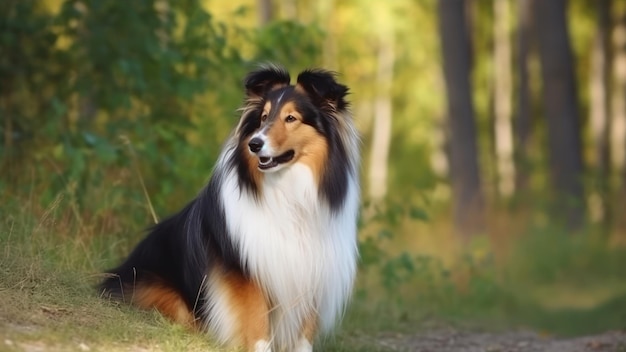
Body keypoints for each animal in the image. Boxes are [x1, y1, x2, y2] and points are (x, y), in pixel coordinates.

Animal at [100, 64, 358, 350]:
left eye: (291, 118)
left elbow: (304, 332)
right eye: (263, 117)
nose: (254, 144)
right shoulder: (246, 271)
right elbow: (256, 323)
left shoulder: (313, 272)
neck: (287, 191)